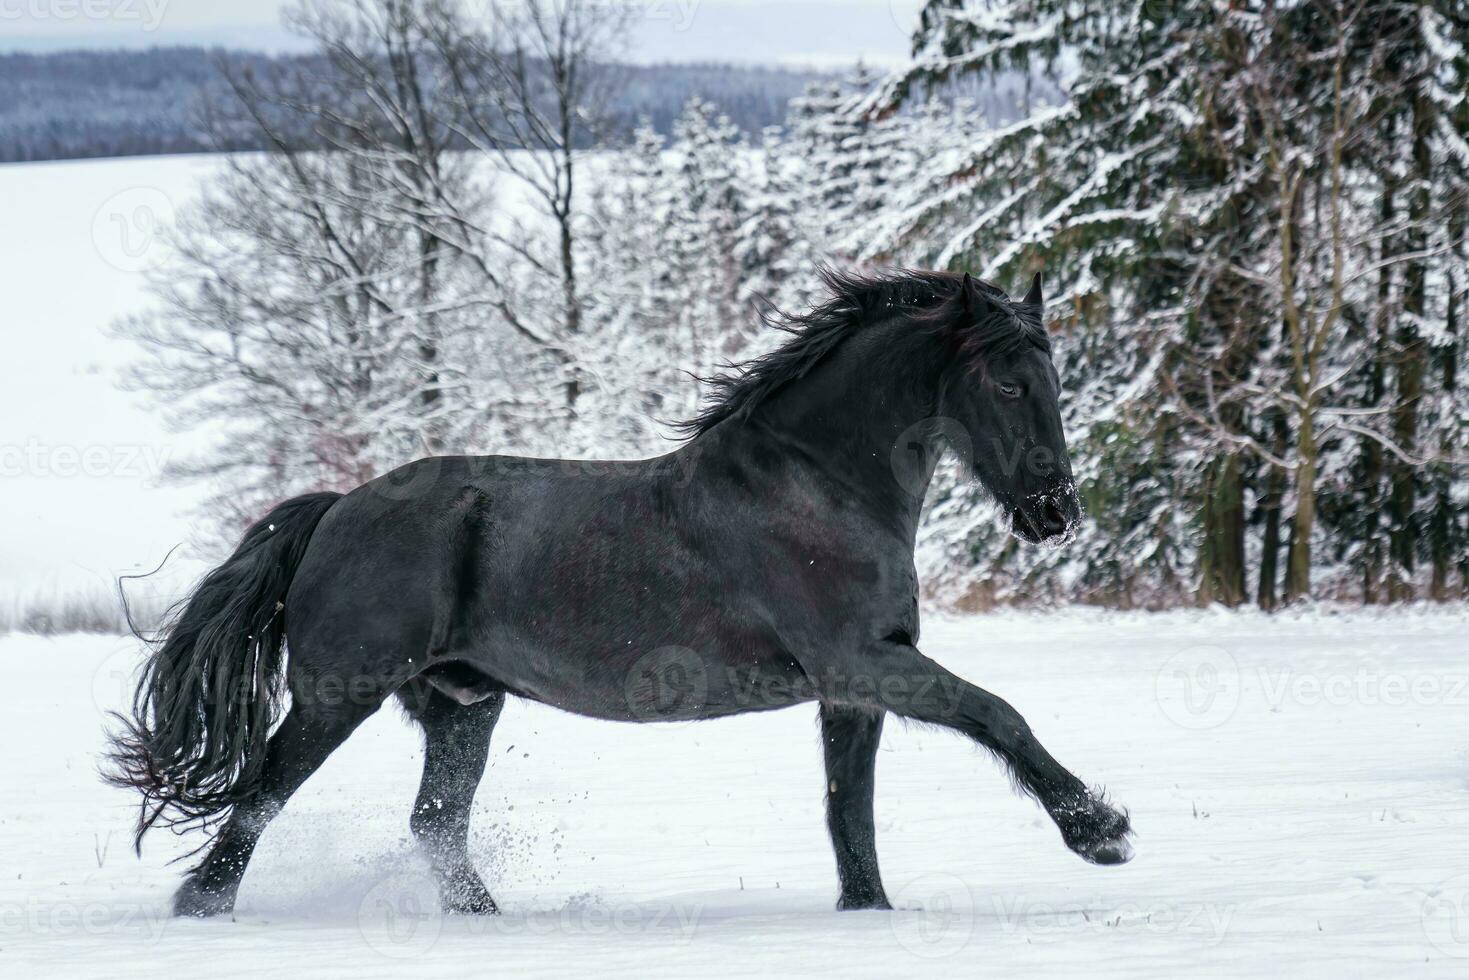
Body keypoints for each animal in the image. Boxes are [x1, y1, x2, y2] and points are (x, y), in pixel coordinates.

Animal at [108, 265, 1134, 922]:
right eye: (1006, 382)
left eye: (1051, 377)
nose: (1055, 511)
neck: (817, 485)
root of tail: (334, 510)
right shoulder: (865, 665)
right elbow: (996, 715)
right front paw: (1101, 833)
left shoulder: (852, 692)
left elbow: (851, 816)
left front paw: (869, 913)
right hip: (338, 695)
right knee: (259, 799)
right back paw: (201, 908)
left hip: (463, 706)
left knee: (434, 824)